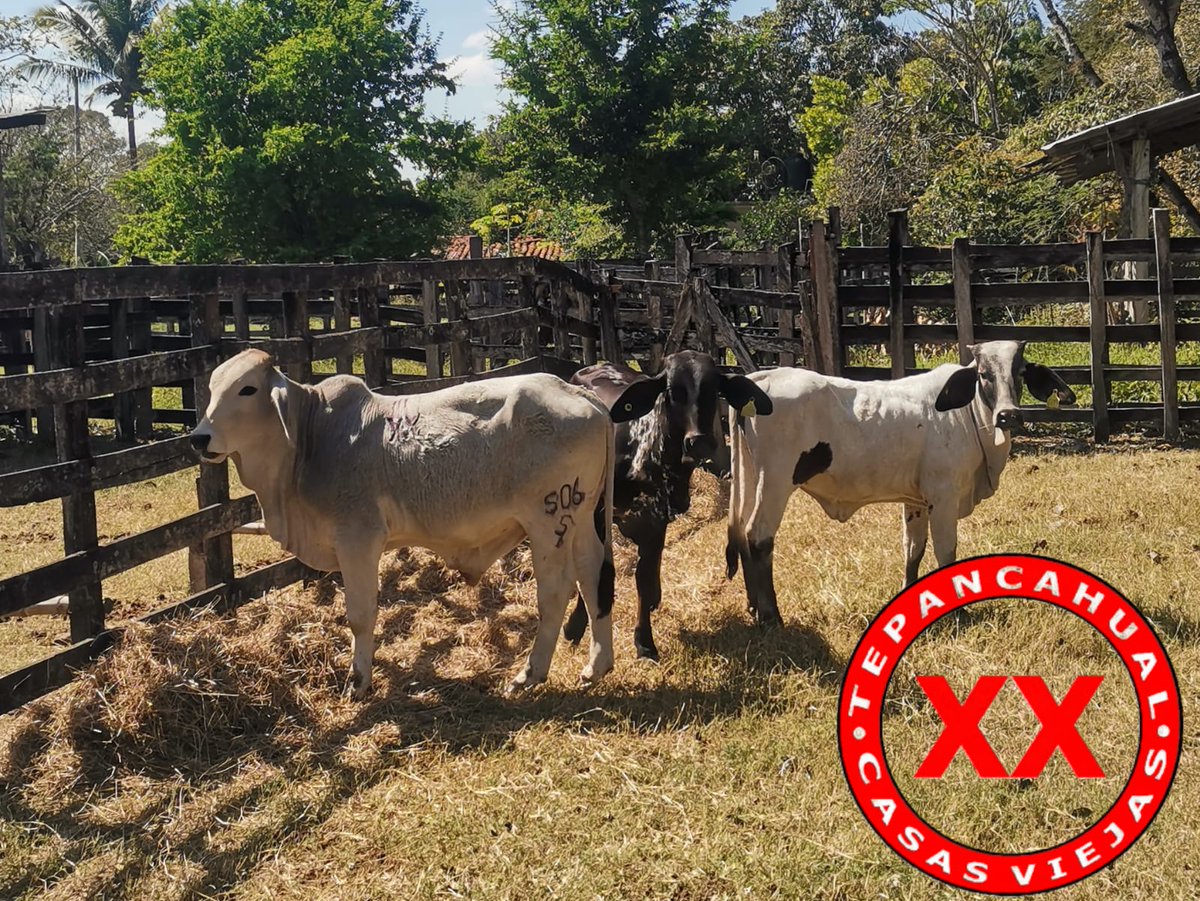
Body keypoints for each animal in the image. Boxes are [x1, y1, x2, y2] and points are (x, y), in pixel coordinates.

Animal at [189, 350, 658, 698]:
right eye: (210, 388)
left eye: (247, 389)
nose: (199, 438)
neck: (312, 437)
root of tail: (580, 394)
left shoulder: (357, 539)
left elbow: (360, 615)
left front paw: (358, 682)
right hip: (579, 520)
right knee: (594, 576)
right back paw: (596, 666)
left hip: (550, 520)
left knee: (557, 591)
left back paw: (529, 674)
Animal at [560, 351, 774, 660]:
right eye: (672, 392)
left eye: (714, 390)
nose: (699, 442)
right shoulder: (597, 514)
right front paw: (575, 625)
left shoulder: (656, 518)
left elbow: (644, 576)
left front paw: (644, 640)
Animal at [725, 340, 1075, 623]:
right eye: (984, 374)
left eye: (1020, 372)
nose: (1008, 416)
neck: (969, 417)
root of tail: (759, 379)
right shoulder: (943, 497)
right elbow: (946, 551)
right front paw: (958, 612)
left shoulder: (915, 501)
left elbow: (913, 551)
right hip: (775, 481)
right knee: (758, 537)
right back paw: (771, 616)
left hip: (751, 477)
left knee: (741, 534)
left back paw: (754, 607)